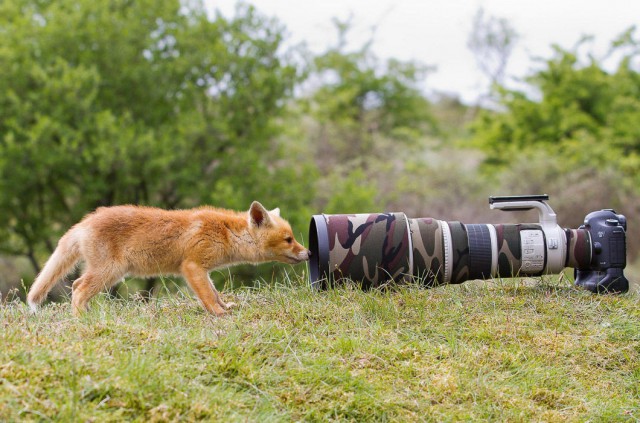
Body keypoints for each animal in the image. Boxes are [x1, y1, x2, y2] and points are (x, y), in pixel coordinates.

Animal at [27, 203, 310, 318]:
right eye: (289, 239)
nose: (308, 253)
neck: (225, 233)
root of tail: (84, 222)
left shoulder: (203, 271)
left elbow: (215, 292)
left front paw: (225, 307)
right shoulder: (192, 267)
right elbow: (208, 297)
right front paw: (218, 314)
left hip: (109, 274)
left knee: (77, 287)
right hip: (108, 272)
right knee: (78, 289)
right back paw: (80, 319)